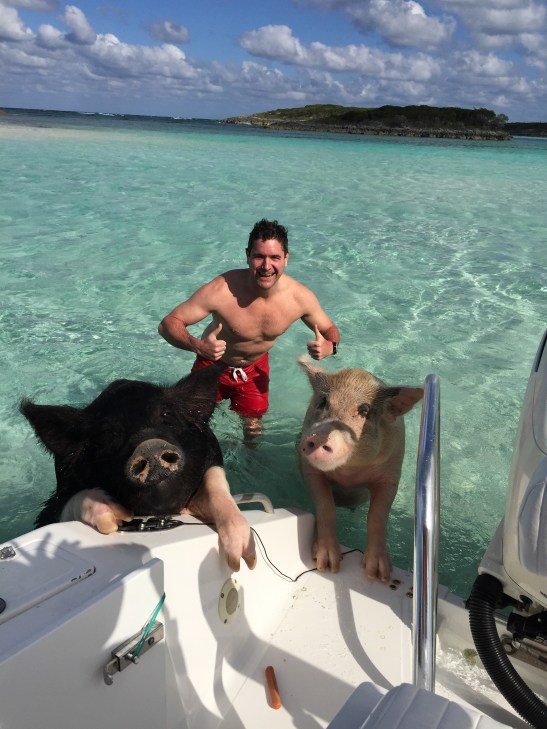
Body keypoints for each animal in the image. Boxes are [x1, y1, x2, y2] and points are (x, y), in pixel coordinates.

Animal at [20, 366, 256, 572]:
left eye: (166, 415)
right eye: (107, 433)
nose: (150, 446)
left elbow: (215, 483)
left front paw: (244, 559)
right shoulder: (55, 503)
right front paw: (116, 515)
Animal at [298, 357, 423, 581]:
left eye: (364, 410)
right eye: (323, 402)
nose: (317, 437)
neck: (350, 473)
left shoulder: (391, 476)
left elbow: (377, 516)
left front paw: (378, 574)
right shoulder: (311, 471)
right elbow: (326, 507)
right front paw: (327, 566)